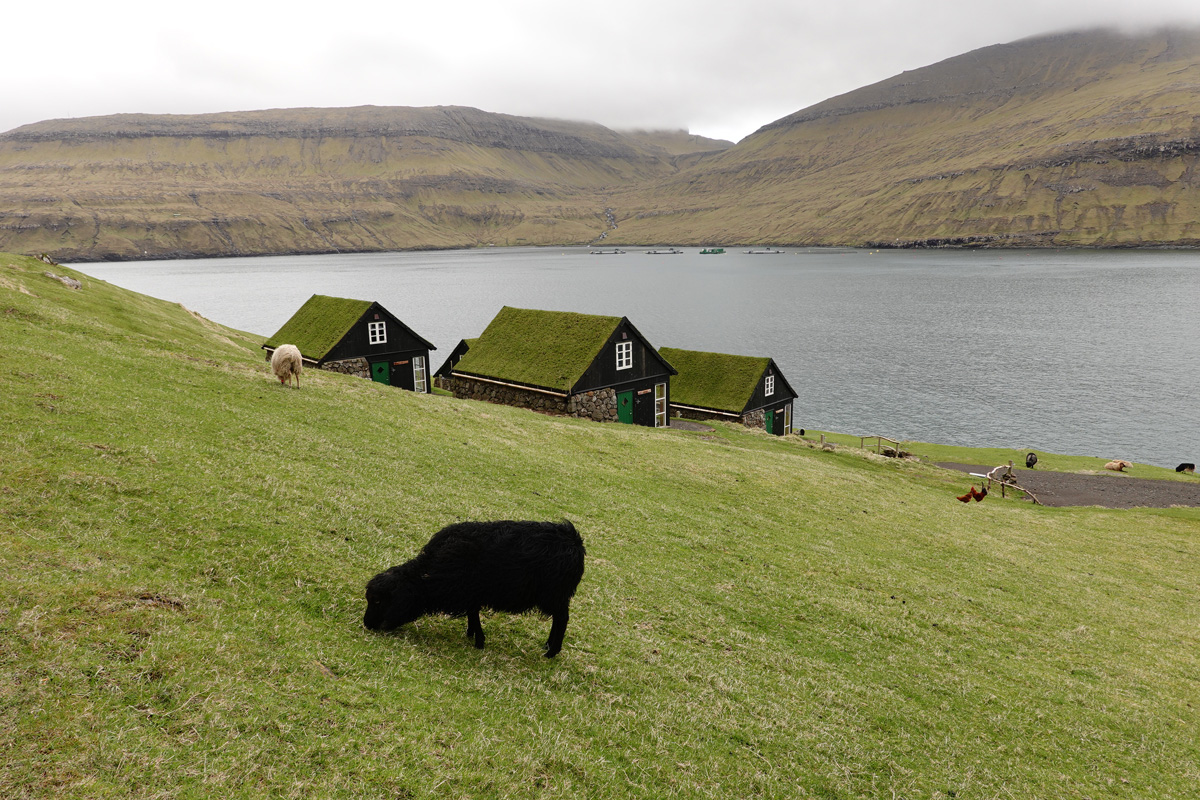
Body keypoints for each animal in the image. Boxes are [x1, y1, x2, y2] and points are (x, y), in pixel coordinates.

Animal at [364, 520, 590, 657]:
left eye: (378, 600)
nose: (367, 625)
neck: (428, 576)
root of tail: (574, 541)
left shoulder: (469, 591)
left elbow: (473, 614)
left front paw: (479, 641)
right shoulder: (470, 593)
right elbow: (473, 614)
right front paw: (472, 634)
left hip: (555, 595)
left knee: (561, 620)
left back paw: (551, 652)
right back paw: (548, 646)